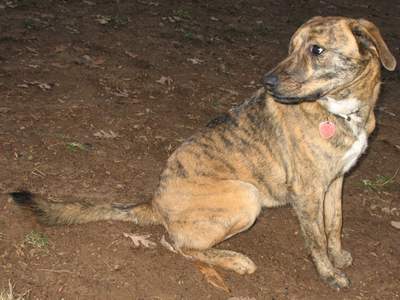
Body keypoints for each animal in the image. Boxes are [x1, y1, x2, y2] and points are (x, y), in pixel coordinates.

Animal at [10, 16, 396, 288]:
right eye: (292, 46)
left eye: (316, 50)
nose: (266, 82)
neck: (343, 110)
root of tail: (154, 202)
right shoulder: (307, 192)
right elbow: (315, 239)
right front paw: (329, 275)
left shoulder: (335, 182)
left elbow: (334, 224)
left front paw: (338, 256)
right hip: (246, 196)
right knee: (179, 245)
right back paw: (235, 259)